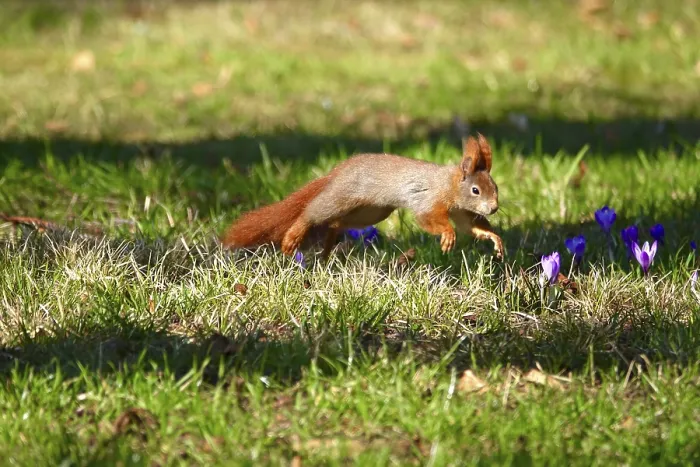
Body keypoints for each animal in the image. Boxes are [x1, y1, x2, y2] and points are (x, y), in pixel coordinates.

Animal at [221, 133, 504, 260]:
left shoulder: (461, 212)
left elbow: (470, 227)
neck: (450, 185)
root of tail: (338, 170)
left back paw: (328, 248)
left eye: (496, 187)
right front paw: (447, 236)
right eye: (476, 190)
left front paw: (493, 238)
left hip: (371, 211)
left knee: (337, 223)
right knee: (313, 213)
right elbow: (430, 219)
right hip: (342, 197)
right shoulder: (428, 200)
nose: (493, 208)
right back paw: (294, 237)